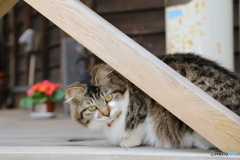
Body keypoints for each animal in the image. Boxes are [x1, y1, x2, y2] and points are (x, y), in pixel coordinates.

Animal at [65, 53, 240, 149]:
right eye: (92, 108)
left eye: (108, 97)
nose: (107, 113)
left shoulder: (143, 106)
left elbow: (140, 127)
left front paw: (129, 141)